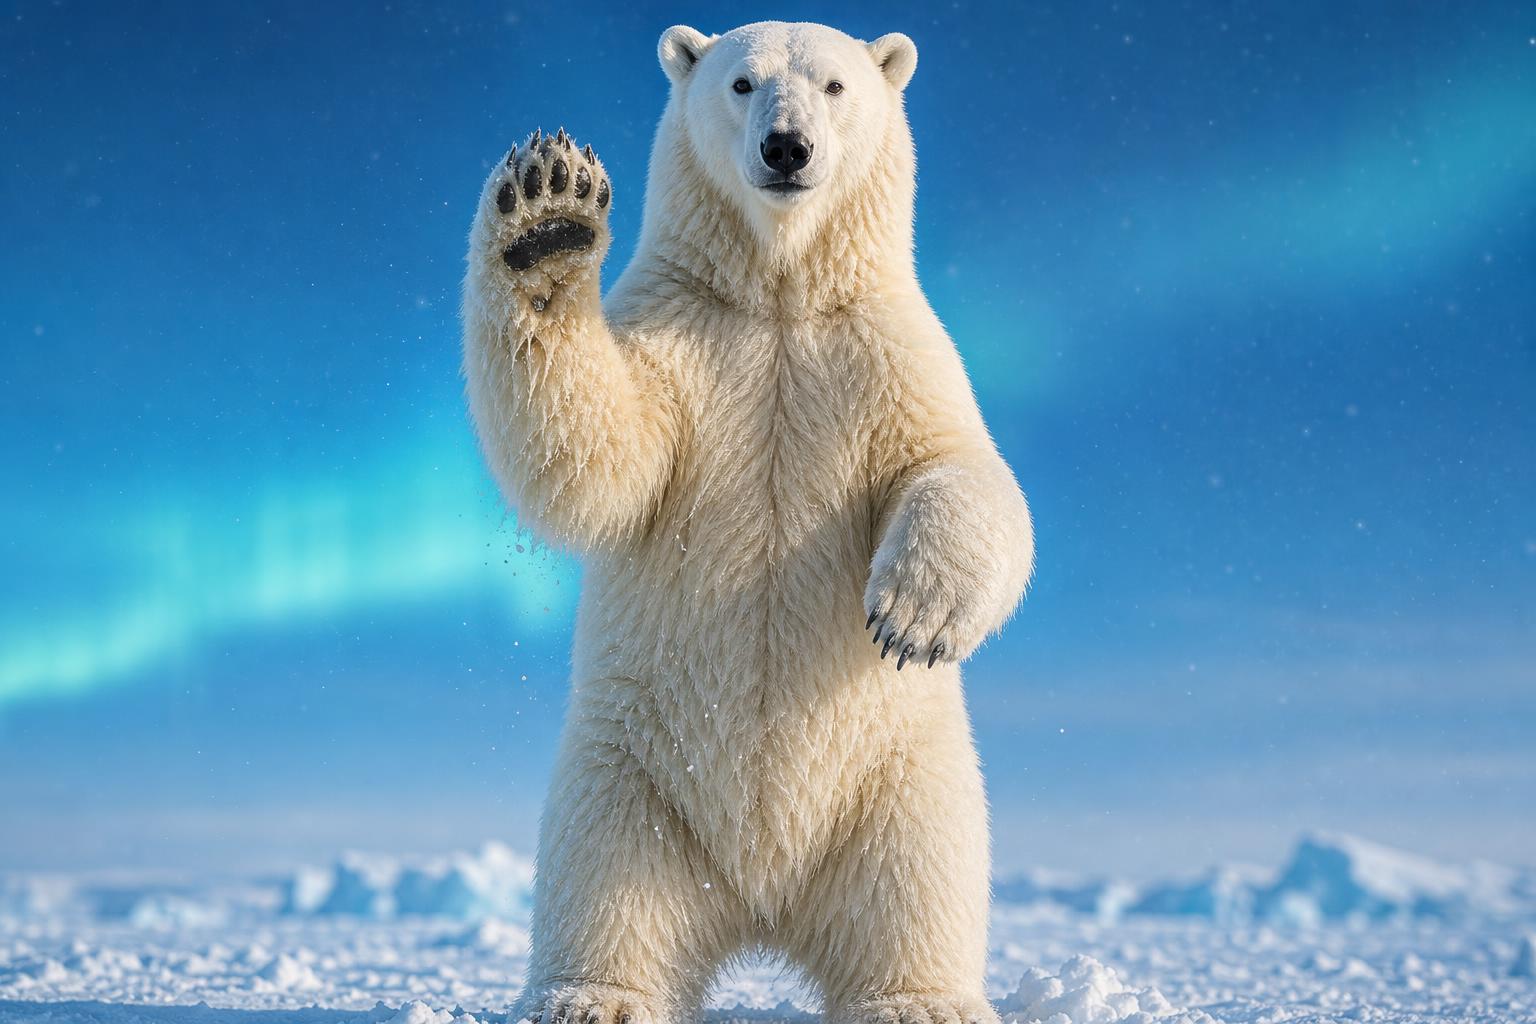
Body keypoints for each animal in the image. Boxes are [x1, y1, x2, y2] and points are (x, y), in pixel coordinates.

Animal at [461, 20, 1035, 1024]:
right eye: (741, 82)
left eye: (836, 85)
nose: (787, 148)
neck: (778, 298)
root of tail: (761, 906)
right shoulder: (683, 346)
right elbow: (604, 458)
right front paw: (546, 221)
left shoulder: (889, 352)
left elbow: (958, 468)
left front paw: (912, 616)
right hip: (632, 780)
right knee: (603, 884)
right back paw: (591, 996)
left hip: (901, 785)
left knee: (916, 885)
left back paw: (919, 999)